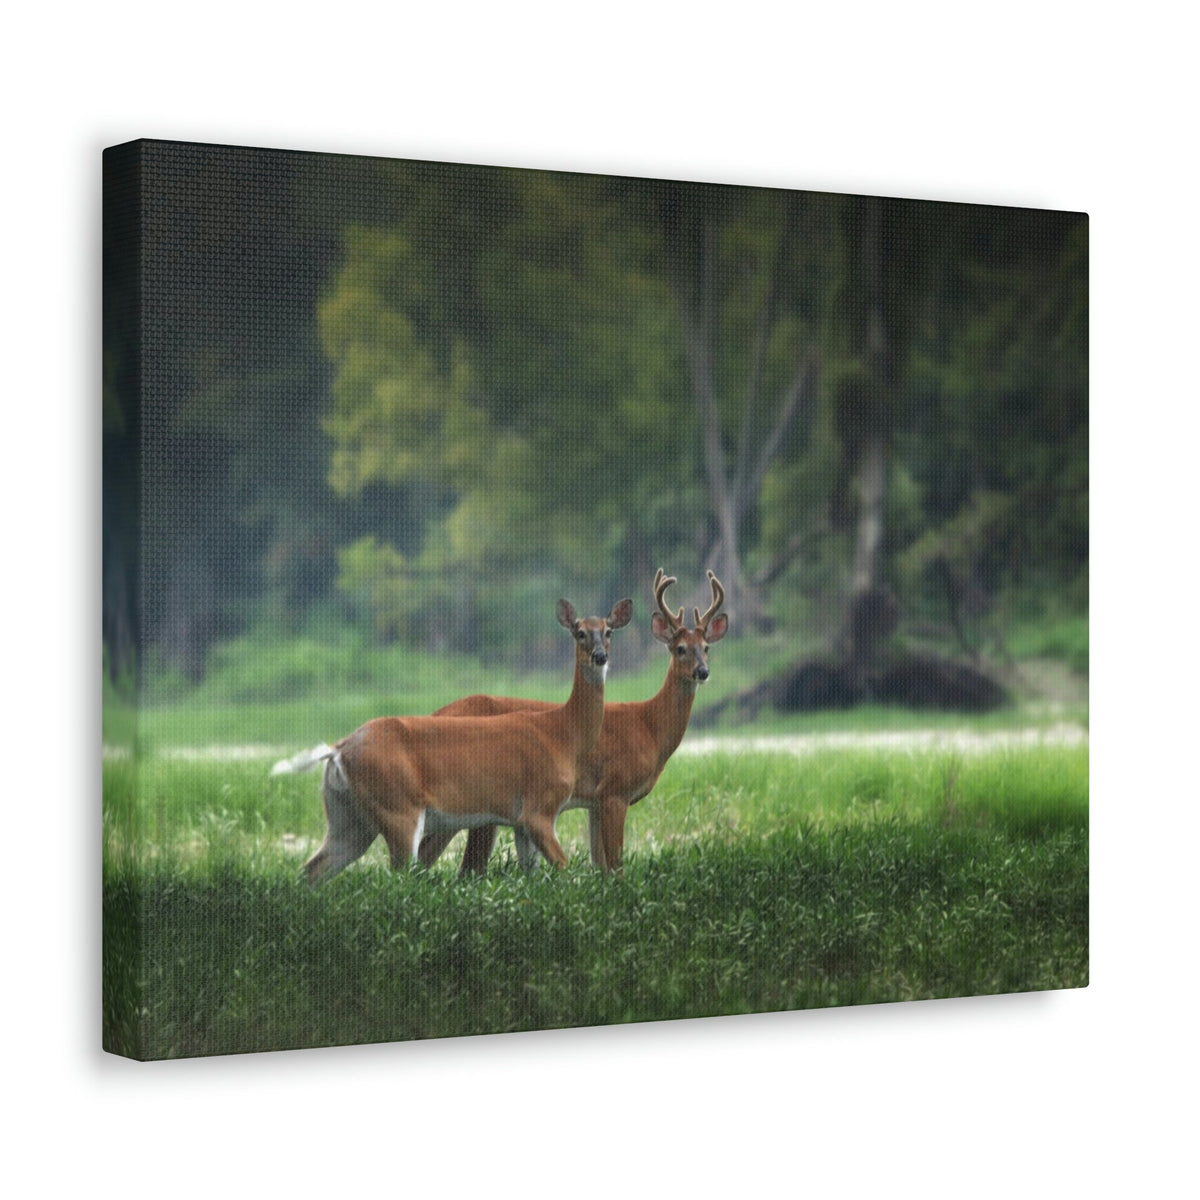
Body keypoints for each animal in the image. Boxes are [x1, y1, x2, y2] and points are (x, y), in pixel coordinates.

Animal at [271, 596, 633, 884]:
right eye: (579, 631)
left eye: (609, 631)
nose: (600, 656)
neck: (562, 733)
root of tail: (338, 749)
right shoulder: (538, 808)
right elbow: (564, 869)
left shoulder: (519, 821)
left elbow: (532, 874)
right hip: (398, 807)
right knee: (397, 876)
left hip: (348, 817)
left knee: (313, 869)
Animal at [417, 570, 728, 874]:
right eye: (680, 648)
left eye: (706, 647)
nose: (702, 672)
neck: (649, 727)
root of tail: (435, 713)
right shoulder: (615, 788)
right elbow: (616, 864)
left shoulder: (594, 802)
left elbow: (600, 863)